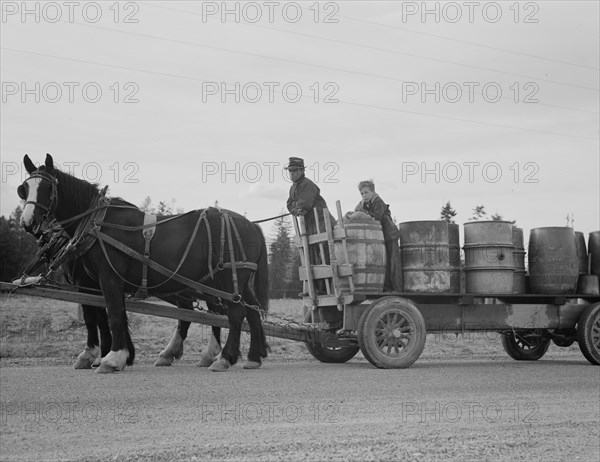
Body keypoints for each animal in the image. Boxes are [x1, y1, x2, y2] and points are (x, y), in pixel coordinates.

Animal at [19, 154, 270, 372]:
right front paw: (117, 355)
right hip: (233, 281)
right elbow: (106, 316)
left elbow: (110, 316)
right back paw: (252, 357)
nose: (28, 222)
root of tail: (252, 225)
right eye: (24, 189)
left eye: (48, 188)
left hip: (225, 279)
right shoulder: (96, 283)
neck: (96, 224)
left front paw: (110, 357)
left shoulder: (104, 279)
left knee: (234, 313)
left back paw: (223, 358)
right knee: (251, 310)